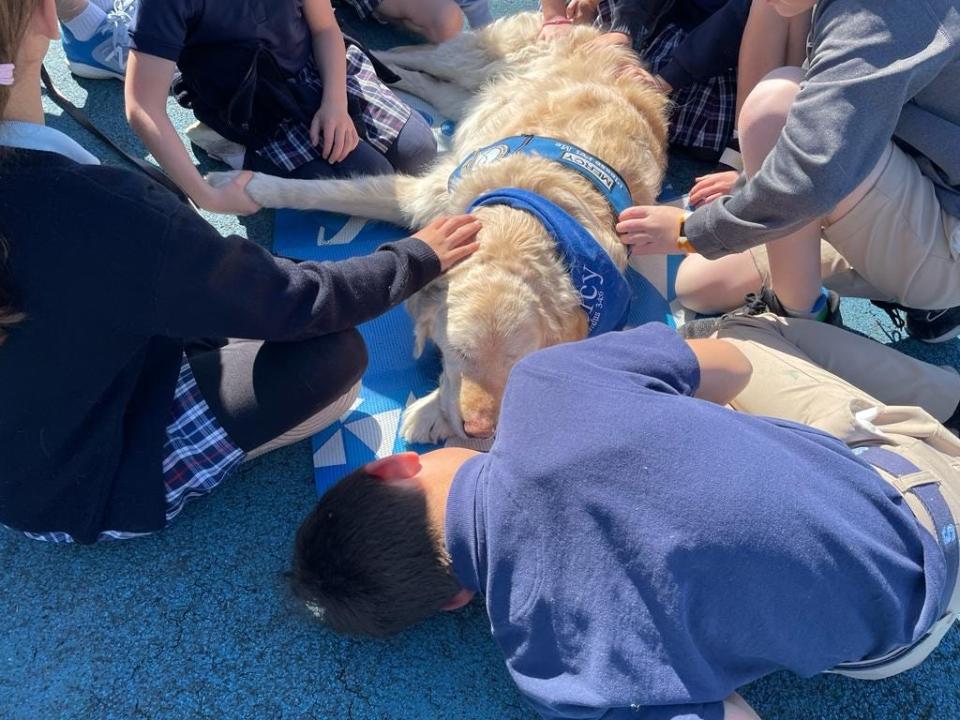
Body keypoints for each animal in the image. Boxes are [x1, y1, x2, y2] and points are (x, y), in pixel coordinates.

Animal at [218, 14, 668, 444]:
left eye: (515, 361)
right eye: (460, 352)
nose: (480, 430)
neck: (522, 217)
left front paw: (431, 412)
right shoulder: (424, 195)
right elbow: (322, 192)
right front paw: (245, 186)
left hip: (471, 94)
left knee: (425, 81)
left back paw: (387, 74)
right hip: (469, 61)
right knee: (419, 54)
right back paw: (365, 57)